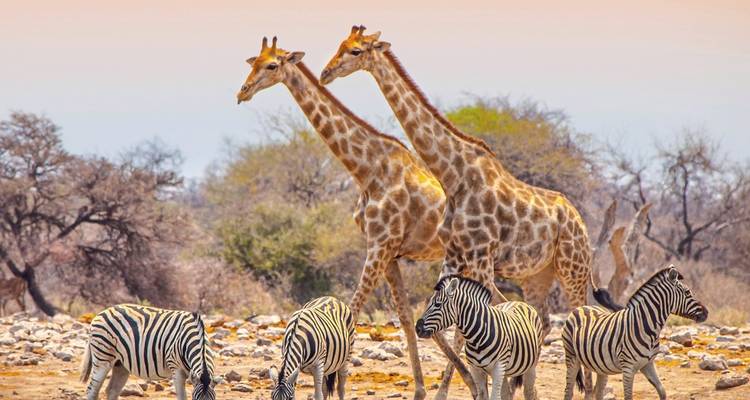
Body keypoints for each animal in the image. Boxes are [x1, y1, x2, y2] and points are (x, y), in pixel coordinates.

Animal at [80, 304, 218, 400]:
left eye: (213, 399)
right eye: (195, 399)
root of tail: (102, 312)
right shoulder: (176, 368)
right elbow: (181, 397)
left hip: (120, 364)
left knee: (112, 390)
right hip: (102, 357)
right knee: (92, 390)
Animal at [236, 36, 449, 400]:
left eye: (272, 65)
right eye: (254, 63)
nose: (243, 91)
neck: (368, 170)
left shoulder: (380, 246)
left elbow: (353, 313)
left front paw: (338, 384)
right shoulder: (387, 252)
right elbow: (405, 318)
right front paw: (419, 390)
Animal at [415, 276, 543, 400]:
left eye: (438, 304)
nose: (417, 329)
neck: (476, 339)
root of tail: (518, 302)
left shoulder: (498, 366)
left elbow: (494, 397)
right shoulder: (475, 368)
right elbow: (482, 396)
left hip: (530, 365)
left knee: (529, 392)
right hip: (505, 371)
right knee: (506, 393)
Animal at [562, 265, 708, 400]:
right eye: (688, 292)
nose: (706, 312)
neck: (646, 327)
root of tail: (582, 307)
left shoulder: (648, 364)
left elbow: (662, 391)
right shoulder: (628, 368)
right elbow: (629, 396)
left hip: (600, 366)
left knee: (597, 393)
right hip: (572, 357)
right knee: (568, 391)